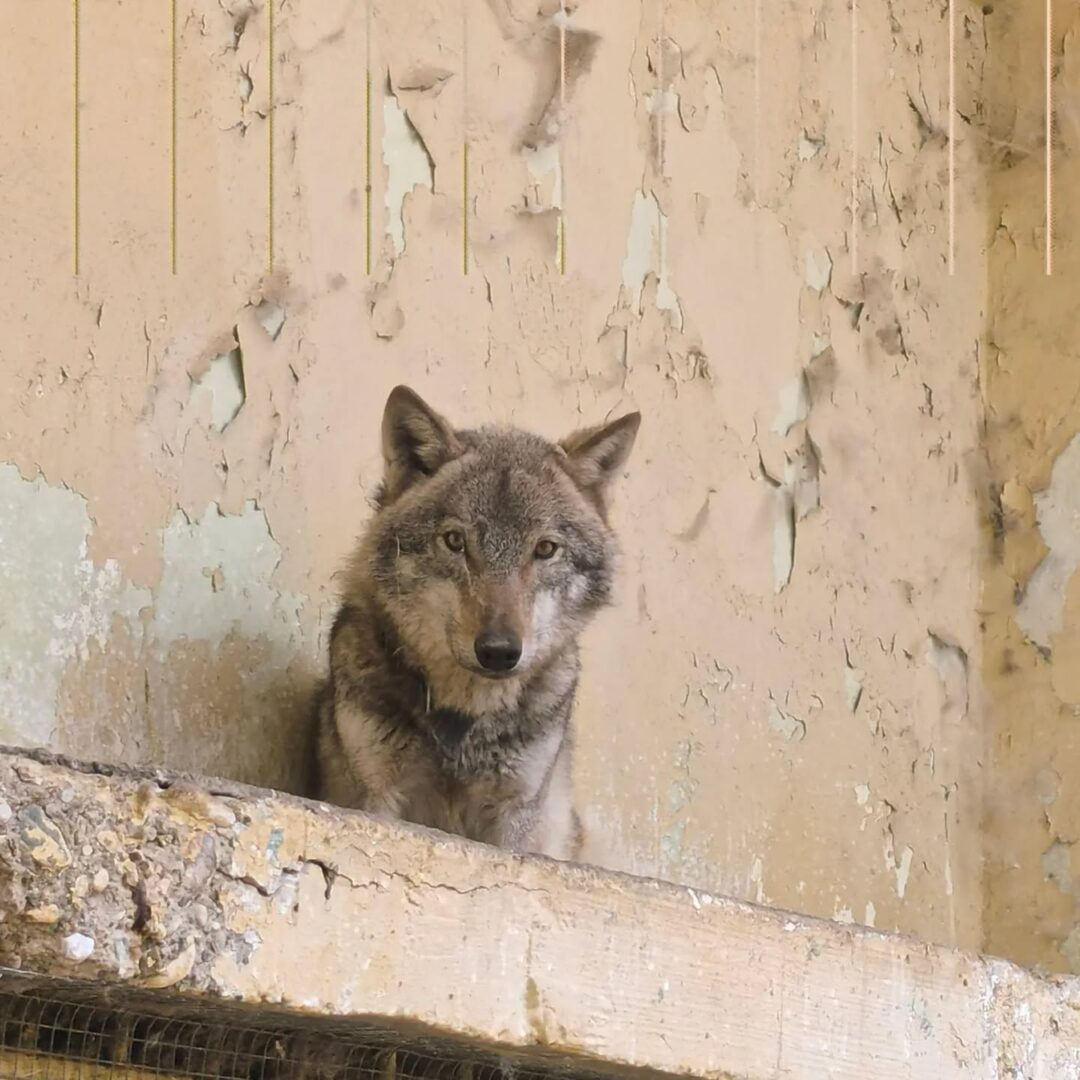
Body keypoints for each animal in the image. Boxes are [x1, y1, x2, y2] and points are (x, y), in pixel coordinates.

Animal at [314, 385, 640, 861]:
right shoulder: (376, 796)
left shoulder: (517, 814)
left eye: (545, 549)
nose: (499, 652)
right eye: (455, 541)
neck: (463, 723)